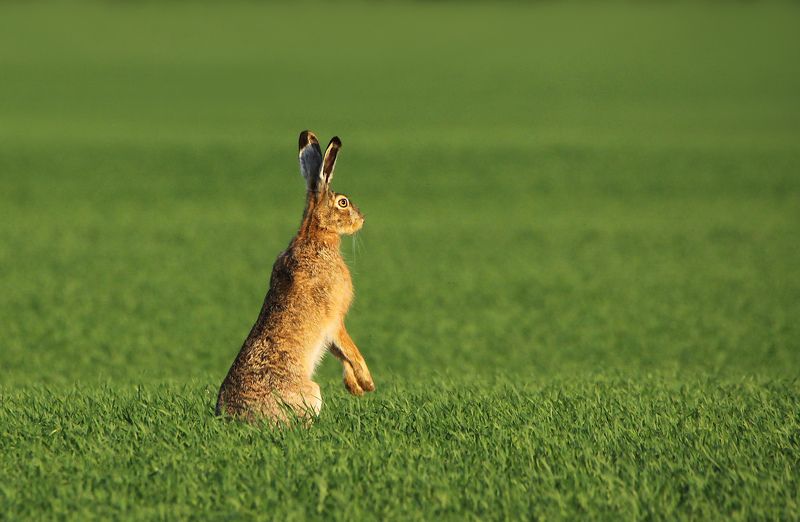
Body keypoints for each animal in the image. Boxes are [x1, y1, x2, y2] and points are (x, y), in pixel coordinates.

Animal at [216, 131, 375, 423]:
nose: (362, 219)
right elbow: (349, 348)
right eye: (343, 202)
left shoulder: (330, 330)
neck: (315, 235)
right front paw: (367, 383)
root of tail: (234, 418)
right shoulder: (334, 319)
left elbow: (340, 352)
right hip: (312, 393)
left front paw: (355, 387)